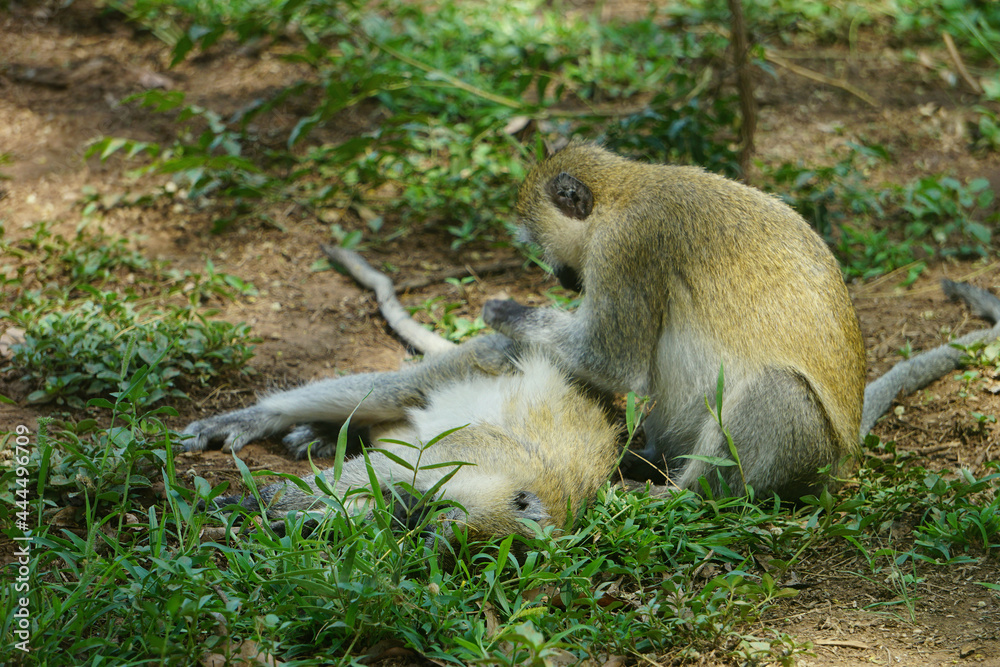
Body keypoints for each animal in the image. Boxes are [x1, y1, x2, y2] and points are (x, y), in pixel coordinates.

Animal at [482, 144, 1000, 498]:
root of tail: (847, 458)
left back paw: (675, 493)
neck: (623, 191)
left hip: (807, 456)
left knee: (777, 391)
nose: (562, 278)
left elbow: (612, 363)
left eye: (539, 245)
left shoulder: (625, 248)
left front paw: (503, 313)